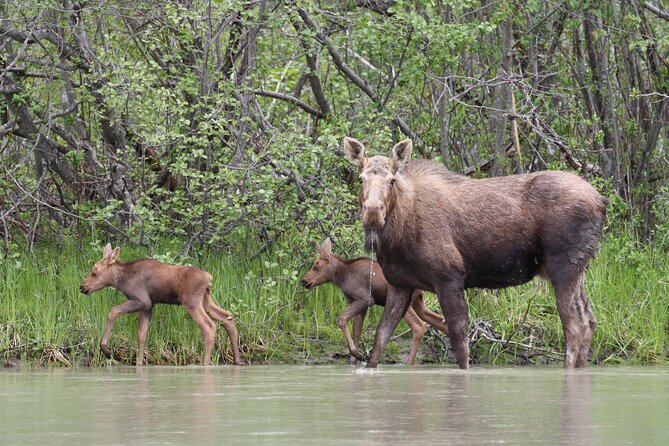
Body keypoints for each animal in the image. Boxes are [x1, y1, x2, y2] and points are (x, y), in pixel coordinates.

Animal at [80, 243, 243, 366]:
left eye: (94, 272)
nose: (82, 287)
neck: (121, 280)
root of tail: (209, 277)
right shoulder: (149, 306)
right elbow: (142, 335)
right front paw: (139, 364)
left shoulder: (142, 300)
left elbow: (112, 311)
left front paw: (106, 349)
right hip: (206, 300)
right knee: (227, 317)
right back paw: (237, 360)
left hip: (192, 302)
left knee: (209, 326)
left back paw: (206, 363)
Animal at [300, 238, 449, 365]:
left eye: (316, 266)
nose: (304, 281)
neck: (340, 277)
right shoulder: (356, 303)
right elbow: (357, 330)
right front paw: (354, 359)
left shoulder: (365, 299)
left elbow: (342, 319)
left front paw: (357, 354)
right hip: (419, 303)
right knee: (442, 323)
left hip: (404, 302)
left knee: (419, 327)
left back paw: (408, 364)